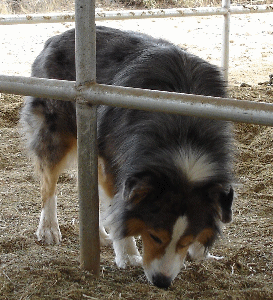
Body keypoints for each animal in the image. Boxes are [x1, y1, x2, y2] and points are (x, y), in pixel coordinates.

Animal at [20, 26, 234, 288]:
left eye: (185, 240)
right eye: (154, 236)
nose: (162, 282)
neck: (184, 132)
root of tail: (56, 37)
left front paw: (202, 252)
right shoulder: (117, 164)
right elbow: (118, 206)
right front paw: (129, 255)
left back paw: (99, 235)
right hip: (56, 131)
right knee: (48, 184)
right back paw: (49, 229)